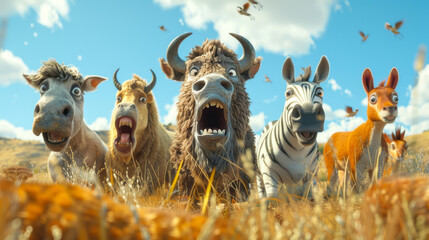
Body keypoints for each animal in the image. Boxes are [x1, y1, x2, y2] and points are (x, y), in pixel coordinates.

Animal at [256, 55, 330, 197]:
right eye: (288, 93)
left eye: (320, 93)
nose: (308, 115)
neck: (298, 150)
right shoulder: (269, 174)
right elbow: (273, 198)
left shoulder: (310, 174)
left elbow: (308, 197)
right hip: (259, 173)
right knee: (261, 189)